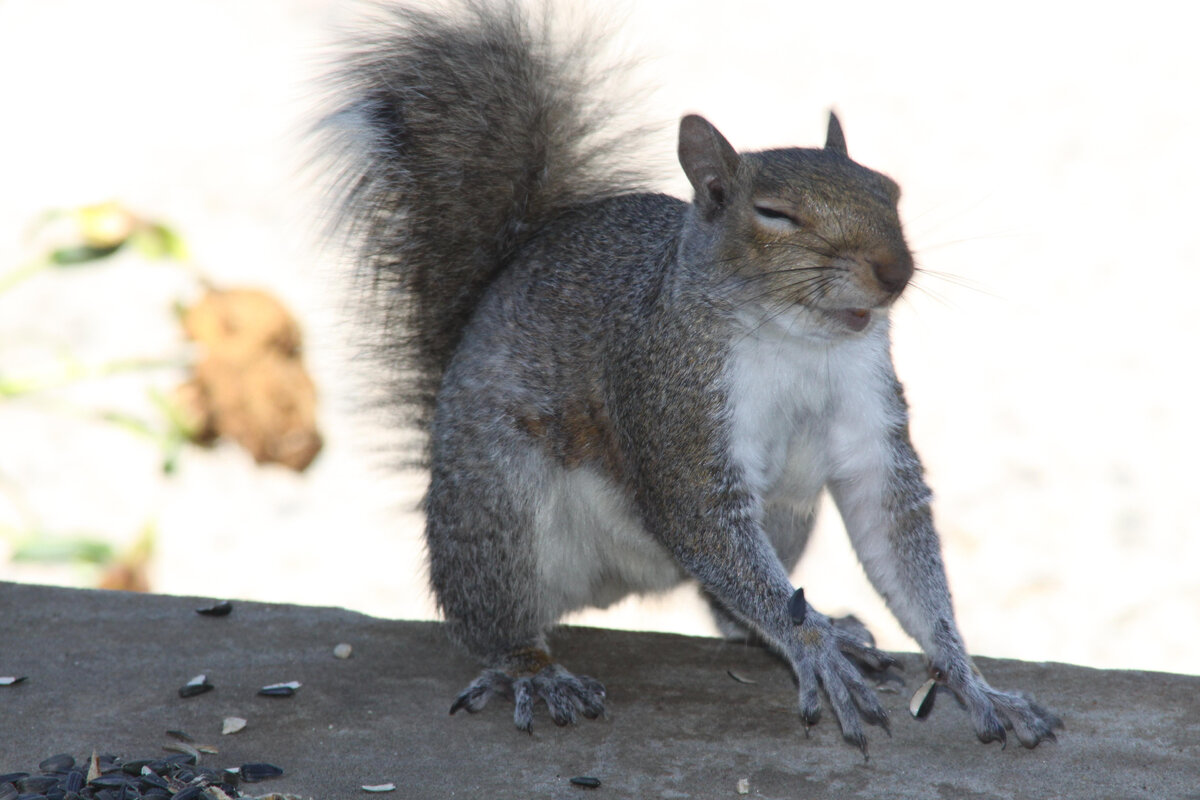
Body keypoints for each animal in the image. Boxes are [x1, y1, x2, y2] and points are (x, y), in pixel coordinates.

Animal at [319, 0, 1060, 753]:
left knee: (727, 603)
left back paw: (817, 628)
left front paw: (969, 679)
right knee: (493, 621)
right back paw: (534, 670)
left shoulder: (867, 413)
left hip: (788, 509)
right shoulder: (668, 394)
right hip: (500, 510)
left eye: (891, 191)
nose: (896, 271)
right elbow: (697, 511)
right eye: (774, 213)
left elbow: (891, 520)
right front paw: (815, 650)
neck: (800, 341)